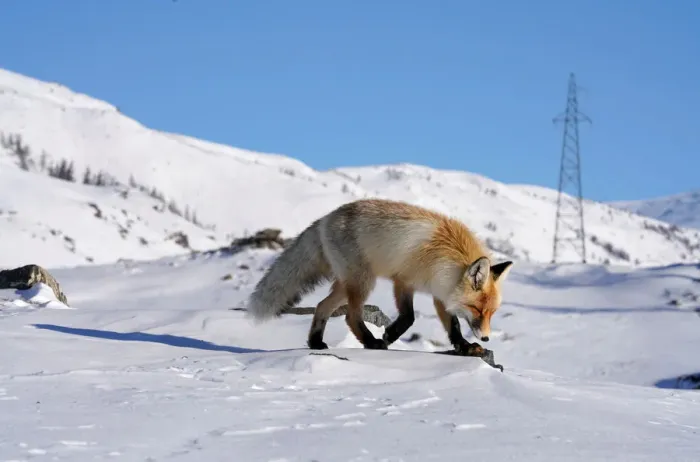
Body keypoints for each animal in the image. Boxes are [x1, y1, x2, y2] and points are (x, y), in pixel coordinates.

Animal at [245, 198, 513, 356]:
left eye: (491, 313)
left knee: (322, 306)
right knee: (351, 316)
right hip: (363, 281)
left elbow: (454, 326)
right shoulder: (403, 281)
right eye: (477, 310)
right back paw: (371, 341)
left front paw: (466, 347)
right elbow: (409, 317)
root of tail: (325, 218)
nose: (487, 337)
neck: (446, 259)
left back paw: (316, 343)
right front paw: (389, 335)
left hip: (347, 284)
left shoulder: (440, 293)